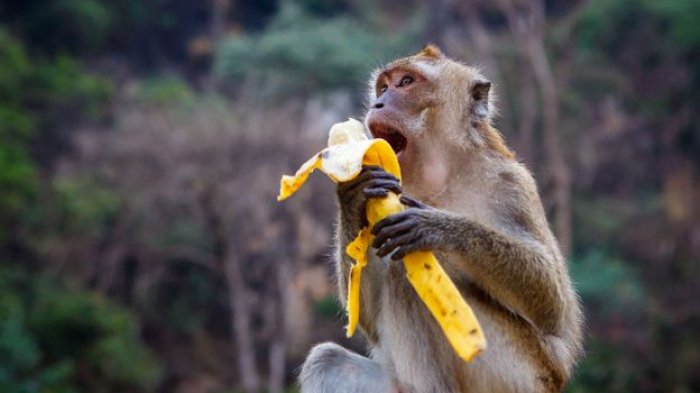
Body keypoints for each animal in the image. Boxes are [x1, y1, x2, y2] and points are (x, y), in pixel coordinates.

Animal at [298, 46, 584, 392]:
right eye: (383, 87)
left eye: (407, 82)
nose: (378, 104)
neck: (439, 175)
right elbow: (366, 316)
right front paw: (353, 193)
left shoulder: (513, 185)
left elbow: (555, 310)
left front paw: (439, 228)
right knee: (327, 358)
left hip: (515, 373)